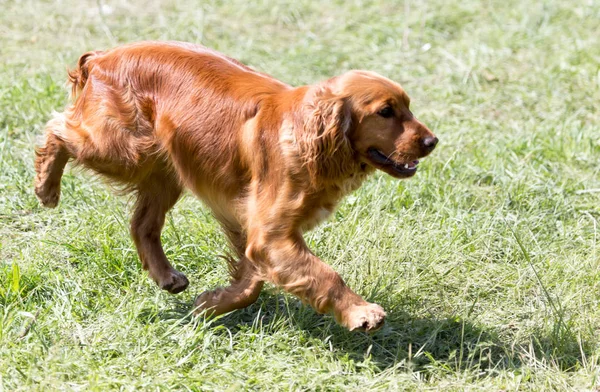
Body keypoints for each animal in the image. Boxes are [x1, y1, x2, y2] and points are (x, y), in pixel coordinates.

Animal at [34, 42, 436, 330]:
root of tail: (103, 56)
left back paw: (167, 277)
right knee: (58, 130)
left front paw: (212, 304)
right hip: (125, 150)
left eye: (408, 107)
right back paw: (46, 187)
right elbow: (324, 273)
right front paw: (360, 312)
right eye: (386, 112)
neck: (303, 132)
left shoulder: (253, 228)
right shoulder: (271, 234)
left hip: (164, 170)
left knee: (142, 225)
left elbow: (251, 284)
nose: (432, 142)